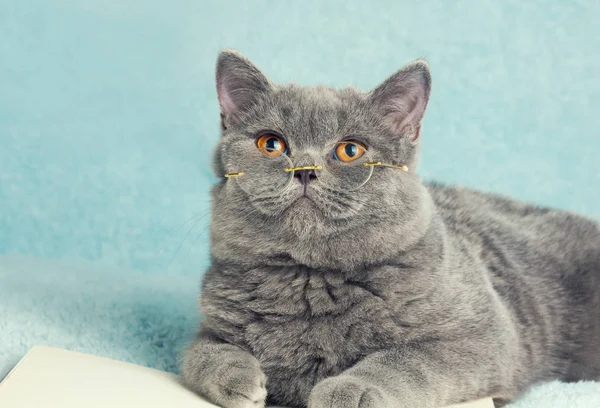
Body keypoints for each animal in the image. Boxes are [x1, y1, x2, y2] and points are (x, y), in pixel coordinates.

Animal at [179, 50, 600, 408]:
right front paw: (237, 378)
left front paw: (348, 390)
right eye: (271, 144)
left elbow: (404, 358)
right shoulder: (212, 323)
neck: (310, 279)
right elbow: (198, 353)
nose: (304, 170)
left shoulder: (485, 337)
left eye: (350, 150)